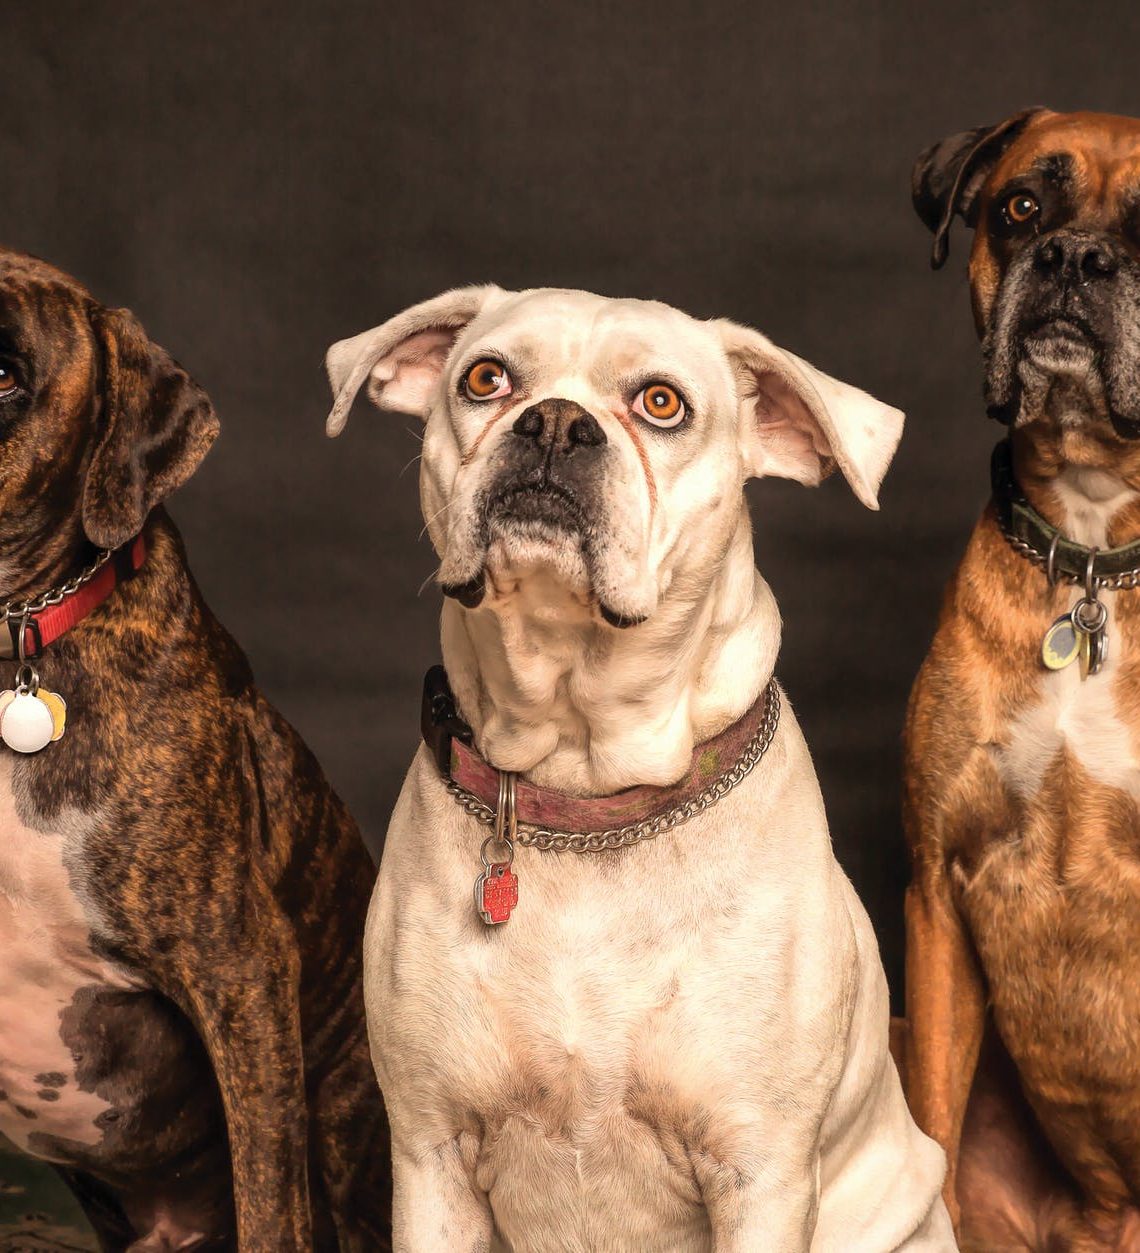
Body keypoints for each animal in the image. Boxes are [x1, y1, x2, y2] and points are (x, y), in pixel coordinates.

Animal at [323, 288, 957, 1247]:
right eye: (485, 378)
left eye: (662, 403)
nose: (554, 422)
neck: (583, 784)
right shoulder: (431, 1156)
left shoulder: (760, 1172)